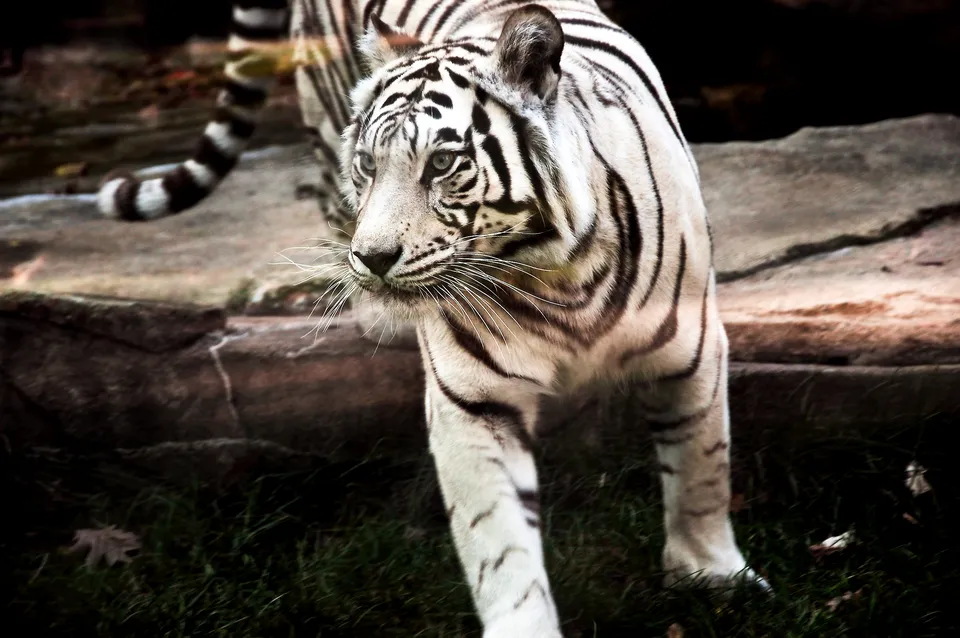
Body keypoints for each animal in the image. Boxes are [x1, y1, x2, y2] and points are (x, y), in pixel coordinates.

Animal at [97, 1, 769, 635]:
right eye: (370, 164)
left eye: (442, 165)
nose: (373, 258)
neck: (561, 275)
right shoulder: (473, 399)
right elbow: (498, 538)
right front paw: (523, 622)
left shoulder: (692, 348)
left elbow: (702, 470)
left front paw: (711, 577)